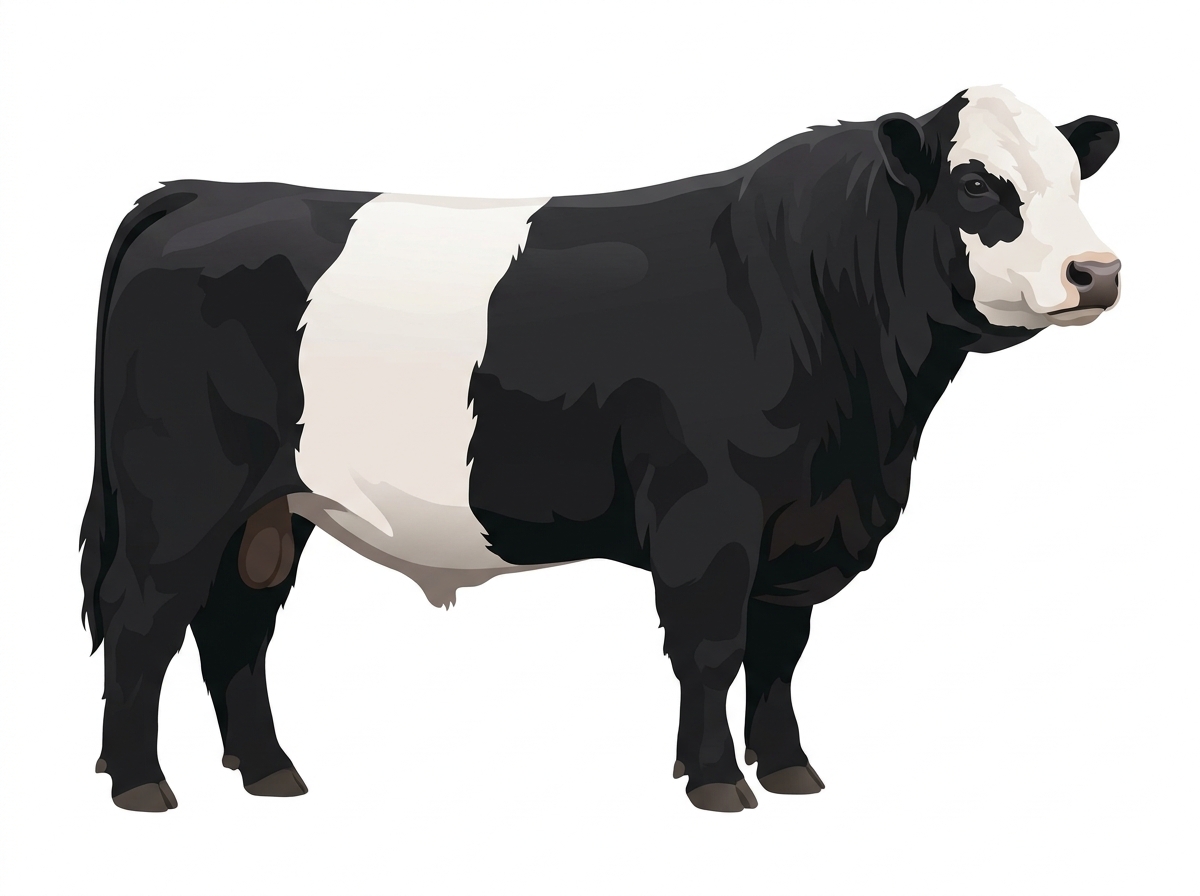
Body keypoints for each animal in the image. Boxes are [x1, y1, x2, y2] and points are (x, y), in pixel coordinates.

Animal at [80, 85, 1121, 812]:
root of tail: (198, 193)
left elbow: (780, 651)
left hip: (268, 506)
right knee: (143, 618)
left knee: (236, 625)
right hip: (177, 492)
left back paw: (270, 773)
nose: (1097, 271)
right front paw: (716, 783)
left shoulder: (802, 527)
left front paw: (790, 771)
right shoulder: (711, 510)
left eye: (1078, 181)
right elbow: (712, 646)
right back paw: (141, 785)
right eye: (979, 184)